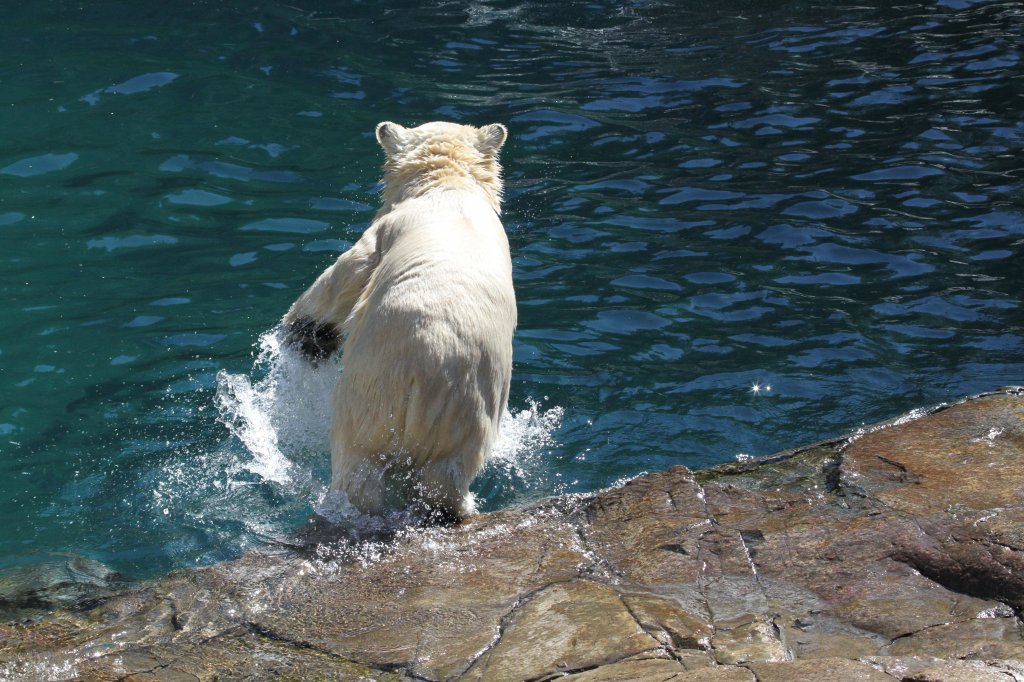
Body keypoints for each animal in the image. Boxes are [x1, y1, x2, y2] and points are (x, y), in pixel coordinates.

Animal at [282, 120, 516, 516]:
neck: (449, 187)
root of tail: (433, 378)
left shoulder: (387, 231)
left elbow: (348, 273)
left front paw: (303, 336)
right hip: (471, 419)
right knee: (445, 478)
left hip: (372, 396)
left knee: (358, 463)